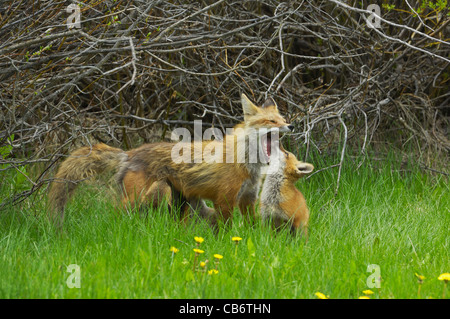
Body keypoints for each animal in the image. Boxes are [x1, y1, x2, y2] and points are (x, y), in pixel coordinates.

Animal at [47, 94, 290, 226]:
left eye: (283, 119)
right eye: (271, 121)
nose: (291, 125)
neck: (246, 162)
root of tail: (129, 153)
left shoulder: (247, 198)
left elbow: (251, 228)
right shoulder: (225, 201)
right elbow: (226, 230)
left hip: (183, 202)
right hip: (141, 198)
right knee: (116, 214)